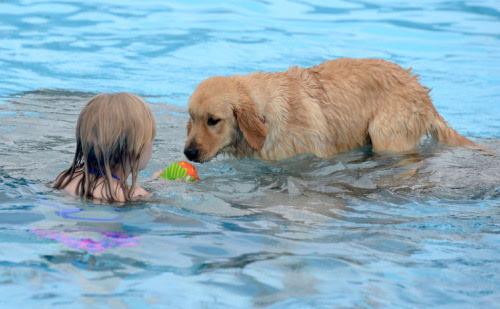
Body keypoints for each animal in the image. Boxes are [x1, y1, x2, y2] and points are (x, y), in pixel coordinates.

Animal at [183, 58, 488, 164]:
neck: (266, 116)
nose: (188, 153)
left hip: (387, 132)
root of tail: (422, 93)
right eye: (192, 118)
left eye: (213, 120)